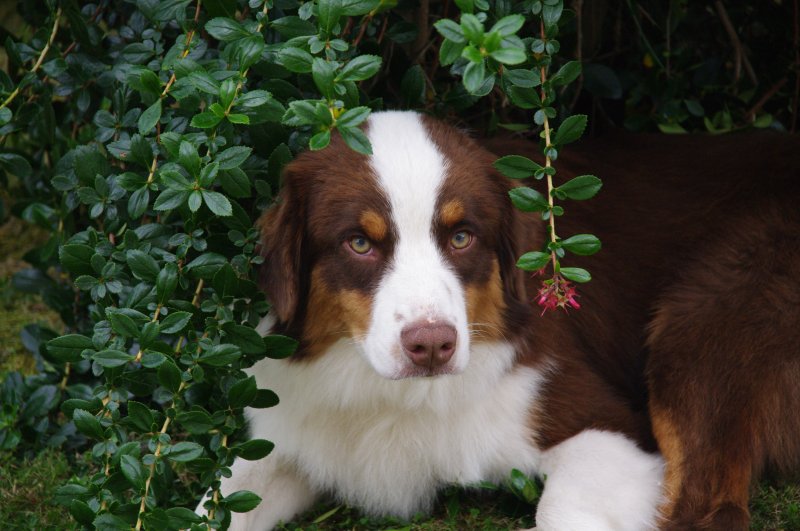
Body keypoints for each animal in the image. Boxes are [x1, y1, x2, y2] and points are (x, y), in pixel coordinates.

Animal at [206, 110, 800, 528]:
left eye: (462, 237)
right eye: (358, 243)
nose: (432, 346)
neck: (394, 398)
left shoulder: (606, 427)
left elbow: (560, 510)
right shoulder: (291, 428)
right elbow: (216, 505)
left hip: (703, 322)